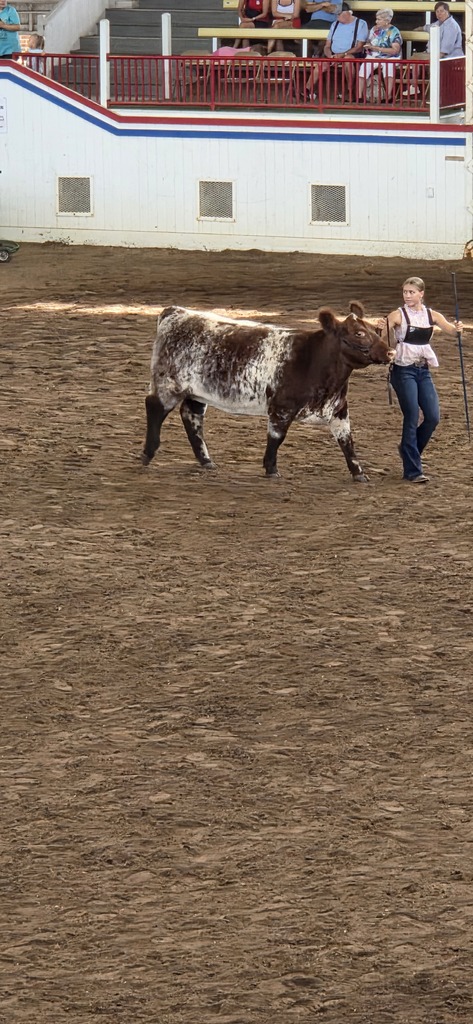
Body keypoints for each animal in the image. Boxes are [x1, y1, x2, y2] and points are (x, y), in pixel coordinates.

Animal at [141, 302, 391, 481]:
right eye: (358, 333)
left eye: (374, 329)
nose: (390, 352)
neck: (314, 360)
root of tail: (175, 311)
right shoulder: (281, 407)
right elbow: (276, 437)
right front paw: (271, 469)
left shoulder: (339, 409)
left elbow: (347, 442)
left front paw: (359, 473)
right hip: (168, 385)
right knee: (154, 407)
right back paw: (147, 454)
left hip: (197, 392)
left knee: (191, 416)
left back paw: (206, 461)